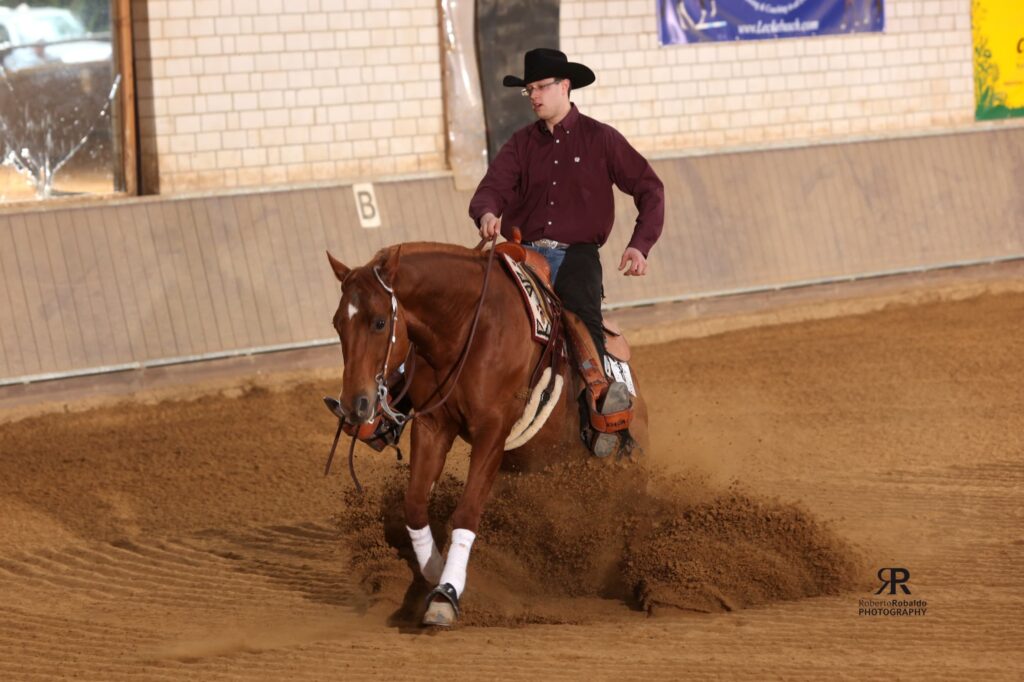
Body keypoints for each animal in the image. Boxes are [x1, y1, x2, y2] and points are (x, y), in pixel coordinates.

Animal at [325, 241, 649, 626]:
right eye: (337, 323)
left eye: (379, 322)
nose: (354, 405)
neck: (468, 328)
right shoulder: (433, 426)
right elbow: (415, 505)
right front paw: (435, 570)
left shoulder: (492, 431)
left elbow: (466, 513)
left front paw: (446, 593)